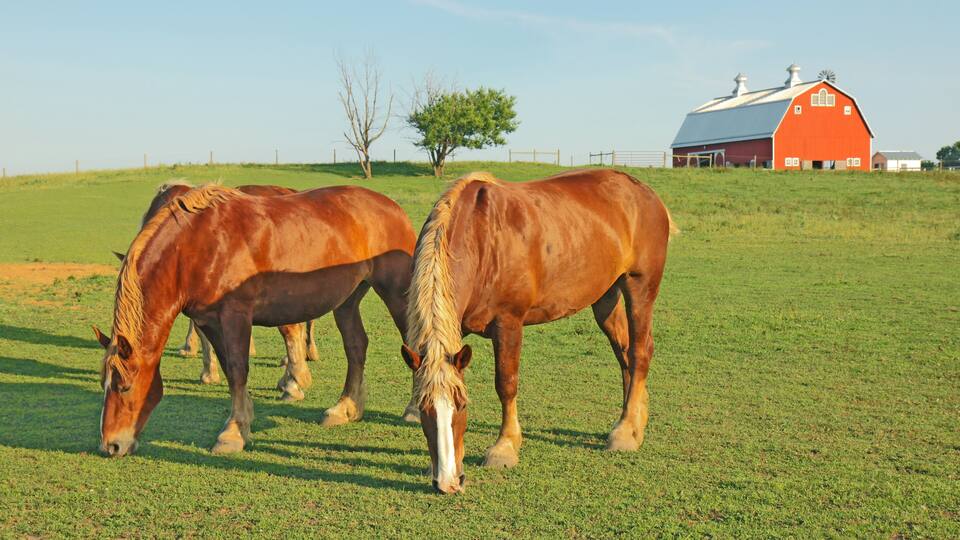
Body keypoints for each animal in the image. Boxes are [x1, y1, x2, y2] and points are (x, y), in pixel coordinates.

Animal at [400, 169, 676, 493]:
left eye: (462, 405)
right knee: (623, 352)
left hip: (639, 287)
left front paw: (505, 448)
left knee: (640, 351)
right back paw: (633, 424)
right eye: (423, 408)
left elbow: (506, 383)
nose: (447, 483)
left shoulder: (508, 322)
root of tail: (645, 193)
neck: (481, 239)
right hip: (605, 297)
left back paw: (625, 431)